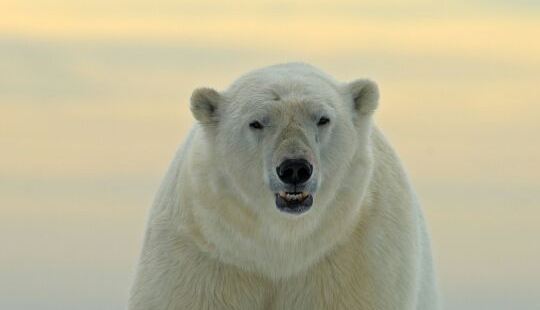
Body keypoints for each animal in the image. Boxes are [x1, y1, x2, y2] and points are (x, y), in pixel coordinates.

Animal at [130, 61, 438, 308]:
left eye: (323, 118)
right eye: (256, 122)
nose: (294, 168)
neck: (280, 248)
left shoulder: (357, 259)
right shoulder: (206, 258)